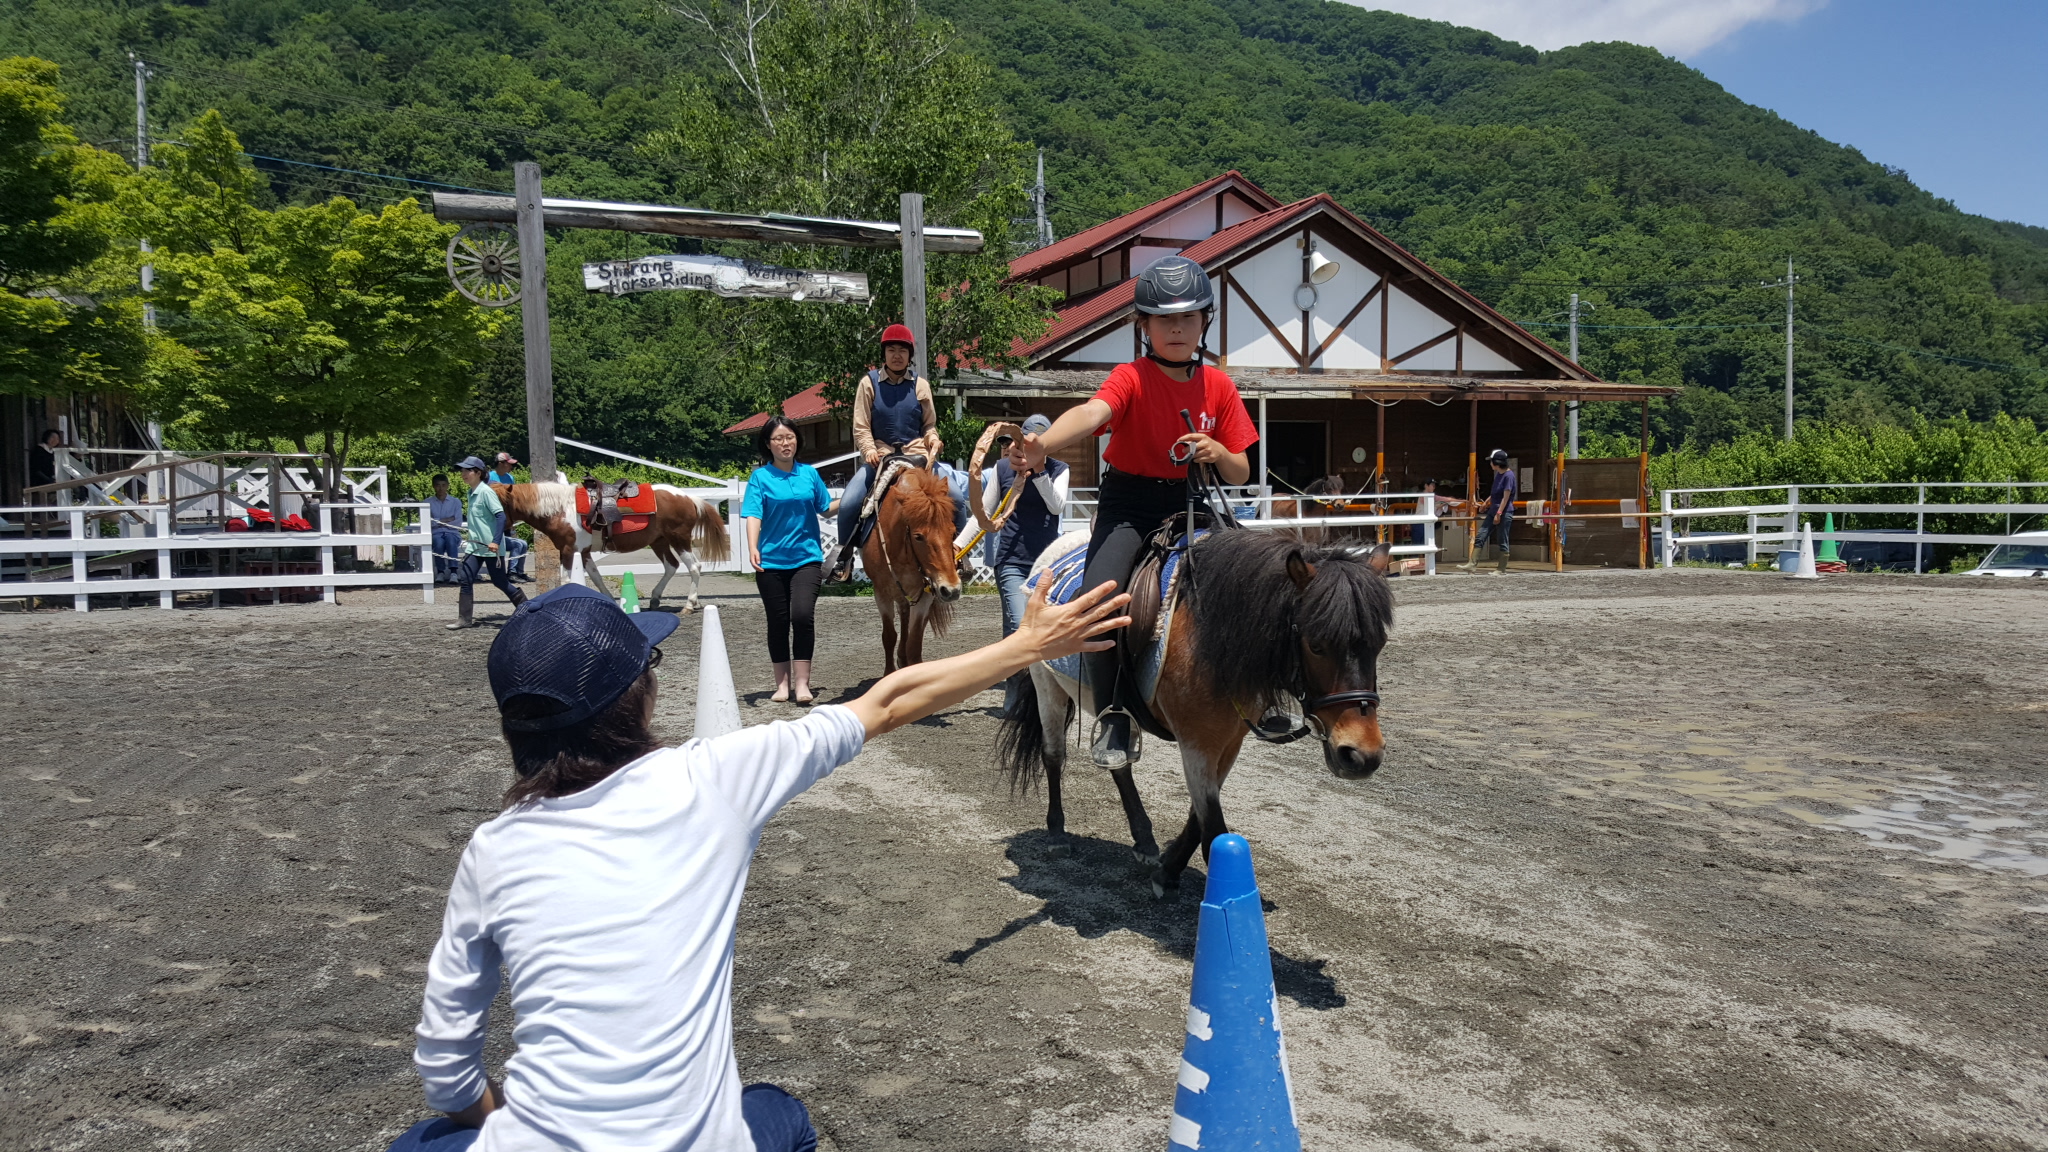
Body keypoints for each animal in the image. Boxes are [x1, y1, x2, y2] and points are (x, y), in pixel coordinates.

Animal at [492, 482, 731, 611]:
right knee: (671, 566)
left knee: (694, 567)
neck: (561, 509)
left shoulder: (569, 550)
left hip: (678, 539)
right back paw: (655, 598)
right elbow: (596, 577)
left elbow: (567, 580)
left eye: (497, 501)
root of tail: (689, 497)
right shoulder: (583, 552)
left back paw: (690, 604)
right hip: (659, 541)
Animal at [998, 530, 1392, 897]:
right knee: (1053, 754)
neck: (1211, 638)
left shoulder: (1229, 740)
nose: (1361, 755)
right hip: (1047, 688)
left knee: (1119, 761)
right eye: (1316, 645)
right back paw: (1057, 832)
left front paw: (1168, 868)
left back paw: (1143, 838)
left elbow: (1200, 813)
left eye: (1379, 644)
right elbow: (1213, 828)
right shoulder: (1197, 742)